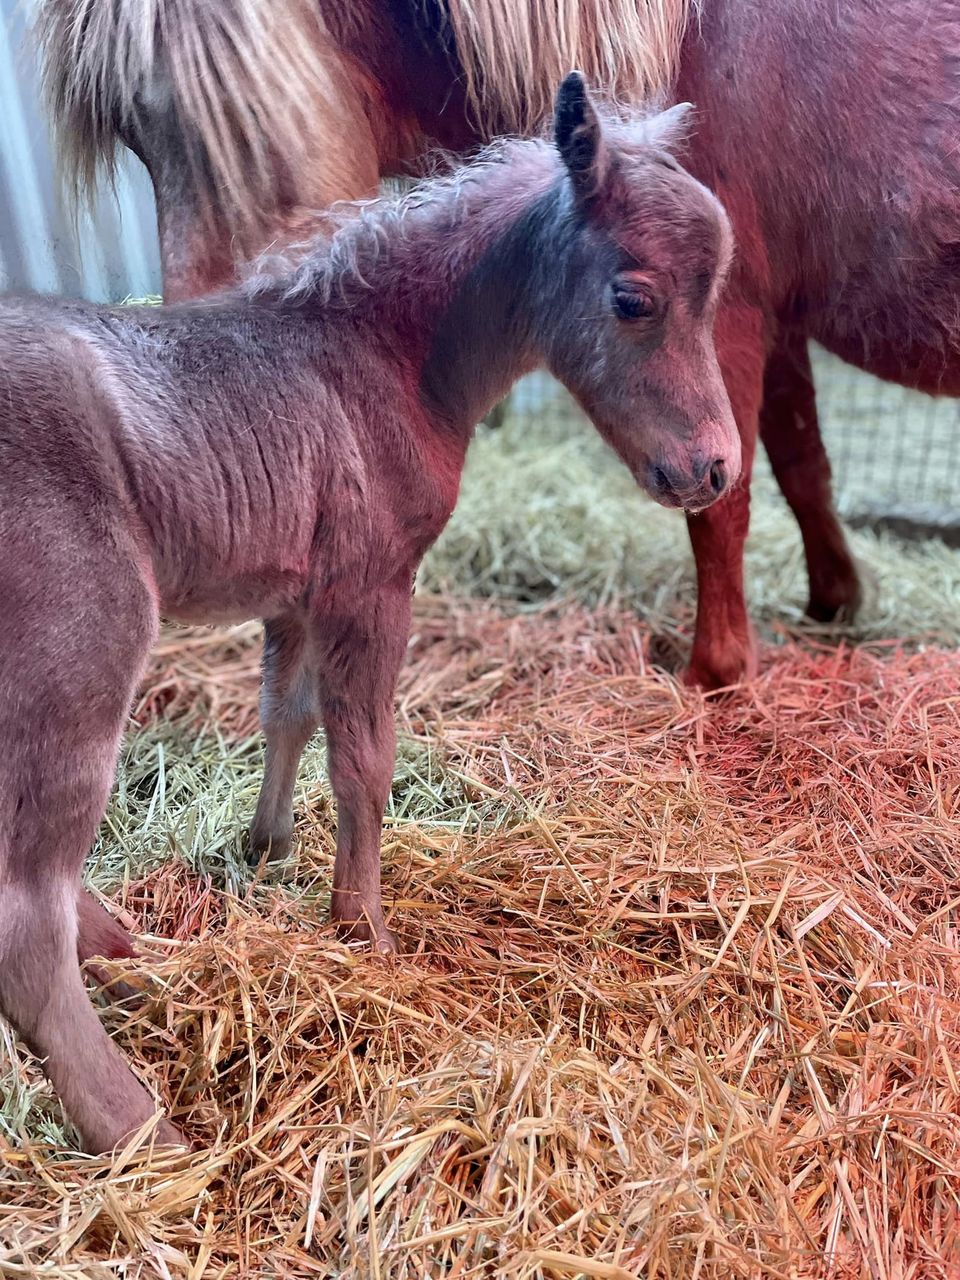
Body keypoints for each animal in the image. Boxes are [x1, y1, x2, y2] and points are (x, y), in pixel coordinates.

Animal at [0, 75, 737, 1154]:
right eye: (632, 298)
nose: (713, 469)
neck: (380, 356)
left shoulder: (300, 593)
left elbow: (288, 715)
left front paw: (265, 851)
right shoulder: (373, 585)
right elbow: (365, 758)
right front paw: (364, 926)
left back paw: (122, 948)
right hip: (76, 662)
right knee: (25, 915)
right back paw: (138, 1127)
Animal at [35, 0, 960, 691]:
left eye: (247, 117)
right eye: (131, 134)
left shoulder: (732, 314)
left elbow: (720, 503)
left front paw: (715, 673)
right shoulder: (772, 318)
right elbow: (800, 465)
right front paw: (832, 603)